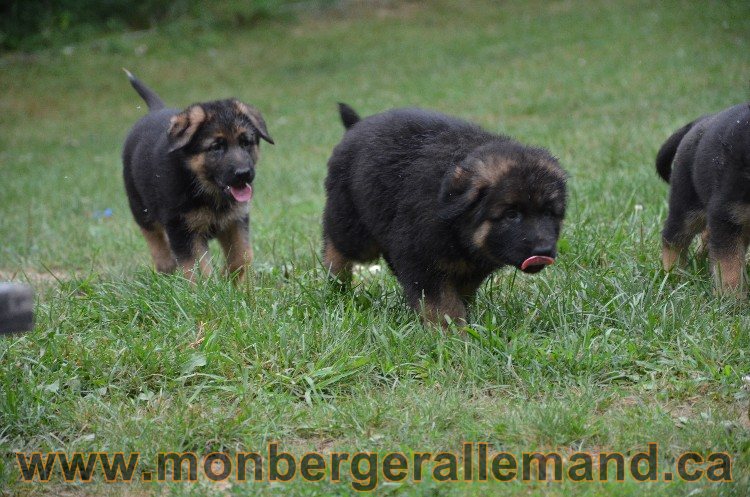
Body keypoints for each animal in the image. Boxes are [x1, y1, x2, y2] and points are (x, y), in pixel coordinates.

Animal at [122, 70, 274, 280]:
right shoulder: (182, 228)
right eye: (216, 147)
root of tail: (155, 110)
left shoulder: (235, 220)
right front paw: (208, 287)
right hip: (139, 205)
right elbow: (198, 269)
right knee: (153, 235)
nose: (244, 174)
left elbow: (241, 257)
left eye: (245, 142)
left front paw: (228, 277)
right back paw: (166, 266)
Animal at [324, 102, 568, 324]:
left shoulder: (469, 268)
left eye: (549, 214)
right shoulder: (422, 261)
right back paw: (336, 283)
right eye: (511, 215)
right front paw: (453, 335)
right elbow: (442, 305)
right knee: (336, 243)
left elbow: (457, 295)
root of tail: (357, 125)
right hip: (355, 229)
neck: (458, 225)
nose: (543, 251)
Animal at [656, 102, 750, 292]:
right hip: (687, 206)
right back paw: (674, 275)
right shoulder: (726, 214)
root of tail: (700, 121)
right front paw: (731, 298)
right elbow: (730, 268)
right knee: (672, 237)